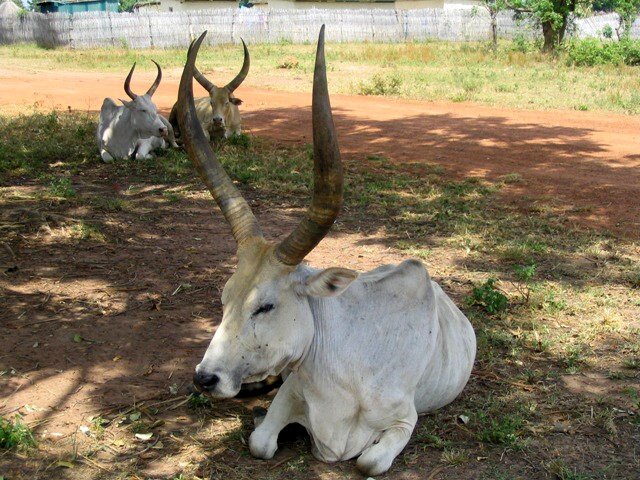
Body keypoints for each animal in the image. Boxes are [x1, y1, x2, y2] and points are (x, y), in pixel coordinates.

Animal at [175, 30, 476, 476]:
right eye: (224, 298)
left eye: (265, 306)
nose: (205, 378)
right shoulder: (290, 397)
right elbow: (261, 442)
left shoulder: (404, 421)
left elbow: (369, 462)